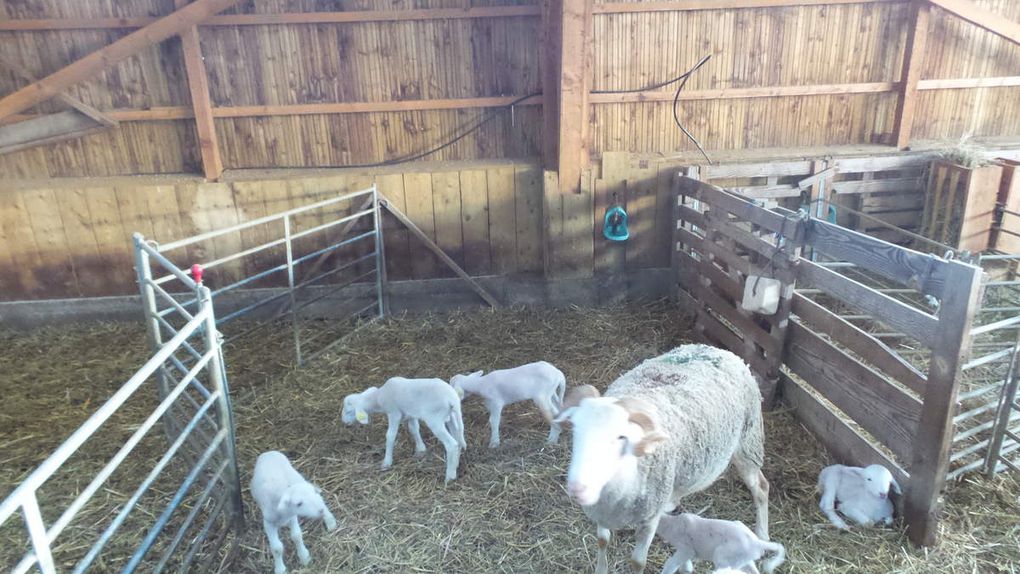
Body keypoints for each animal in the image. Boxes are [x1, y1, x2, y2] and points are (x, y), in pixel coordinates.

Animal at [554, 346, 767, 574]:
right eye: (575, 429)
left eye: (621, 437)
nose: (578, 489)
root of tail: (722, 351)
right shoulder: (601, 512)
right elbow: (602, 540)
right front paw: (601, 569)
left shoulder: (649, 519)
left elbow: (637, 562)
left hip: (748, 442)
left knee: (761, 488)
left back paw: (763, 536)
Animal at [652, 511, 787, 574]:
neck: (671, 524)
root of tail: (757, 543)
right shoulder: (689, 552)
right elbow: (686, 565)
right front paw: (687, 569)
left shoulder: (686, 548)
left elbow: (671, 563)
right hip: (745, 559)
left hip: (723, 557)